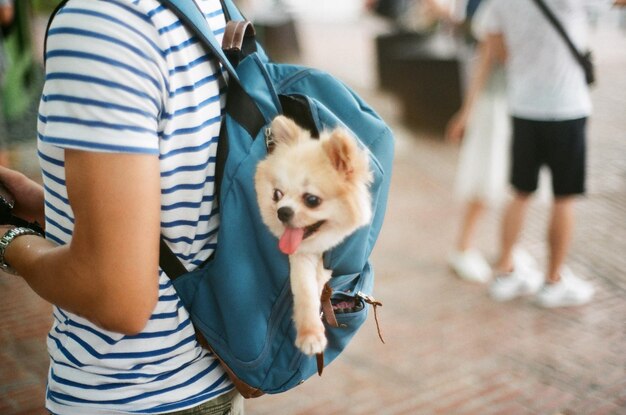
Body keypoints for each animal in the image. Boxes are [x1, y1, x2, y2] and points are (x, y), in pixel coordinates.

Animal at [254, 115, 370, 356]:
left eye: (312, 200)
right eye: (277, 194)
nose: (282, 211)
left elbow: (318, 283)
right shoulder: (302, 254)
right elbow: (306, 290)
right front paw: (310, 333)